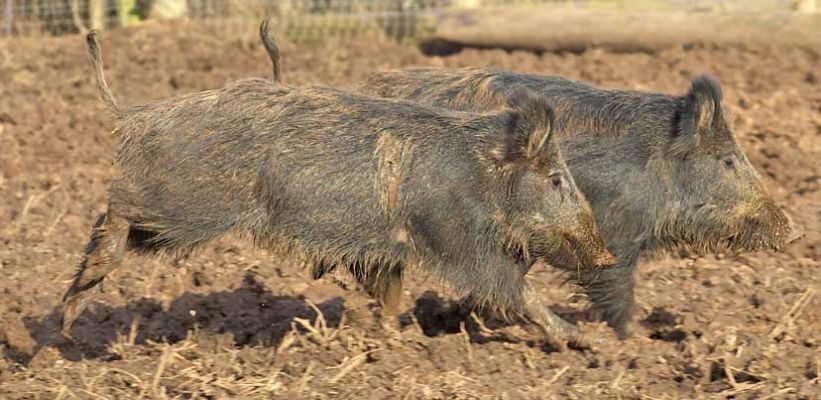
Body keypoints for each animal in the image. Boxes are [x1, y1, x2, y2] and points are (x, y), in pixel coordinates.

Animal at [61, 32, 617, 348]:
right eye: (556, 180)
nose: (607, 256)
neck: (482, 176)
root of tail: (141, 112)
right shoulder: (456, 242)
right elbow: (512, 289)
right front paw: (588, 343)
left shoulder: (383, 250)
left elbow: (390, 293)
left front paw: (391, 339)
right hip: (185, 207)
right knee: (115, 210)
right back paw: (69, 314)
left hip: (170, 220)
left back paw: (69, 319)